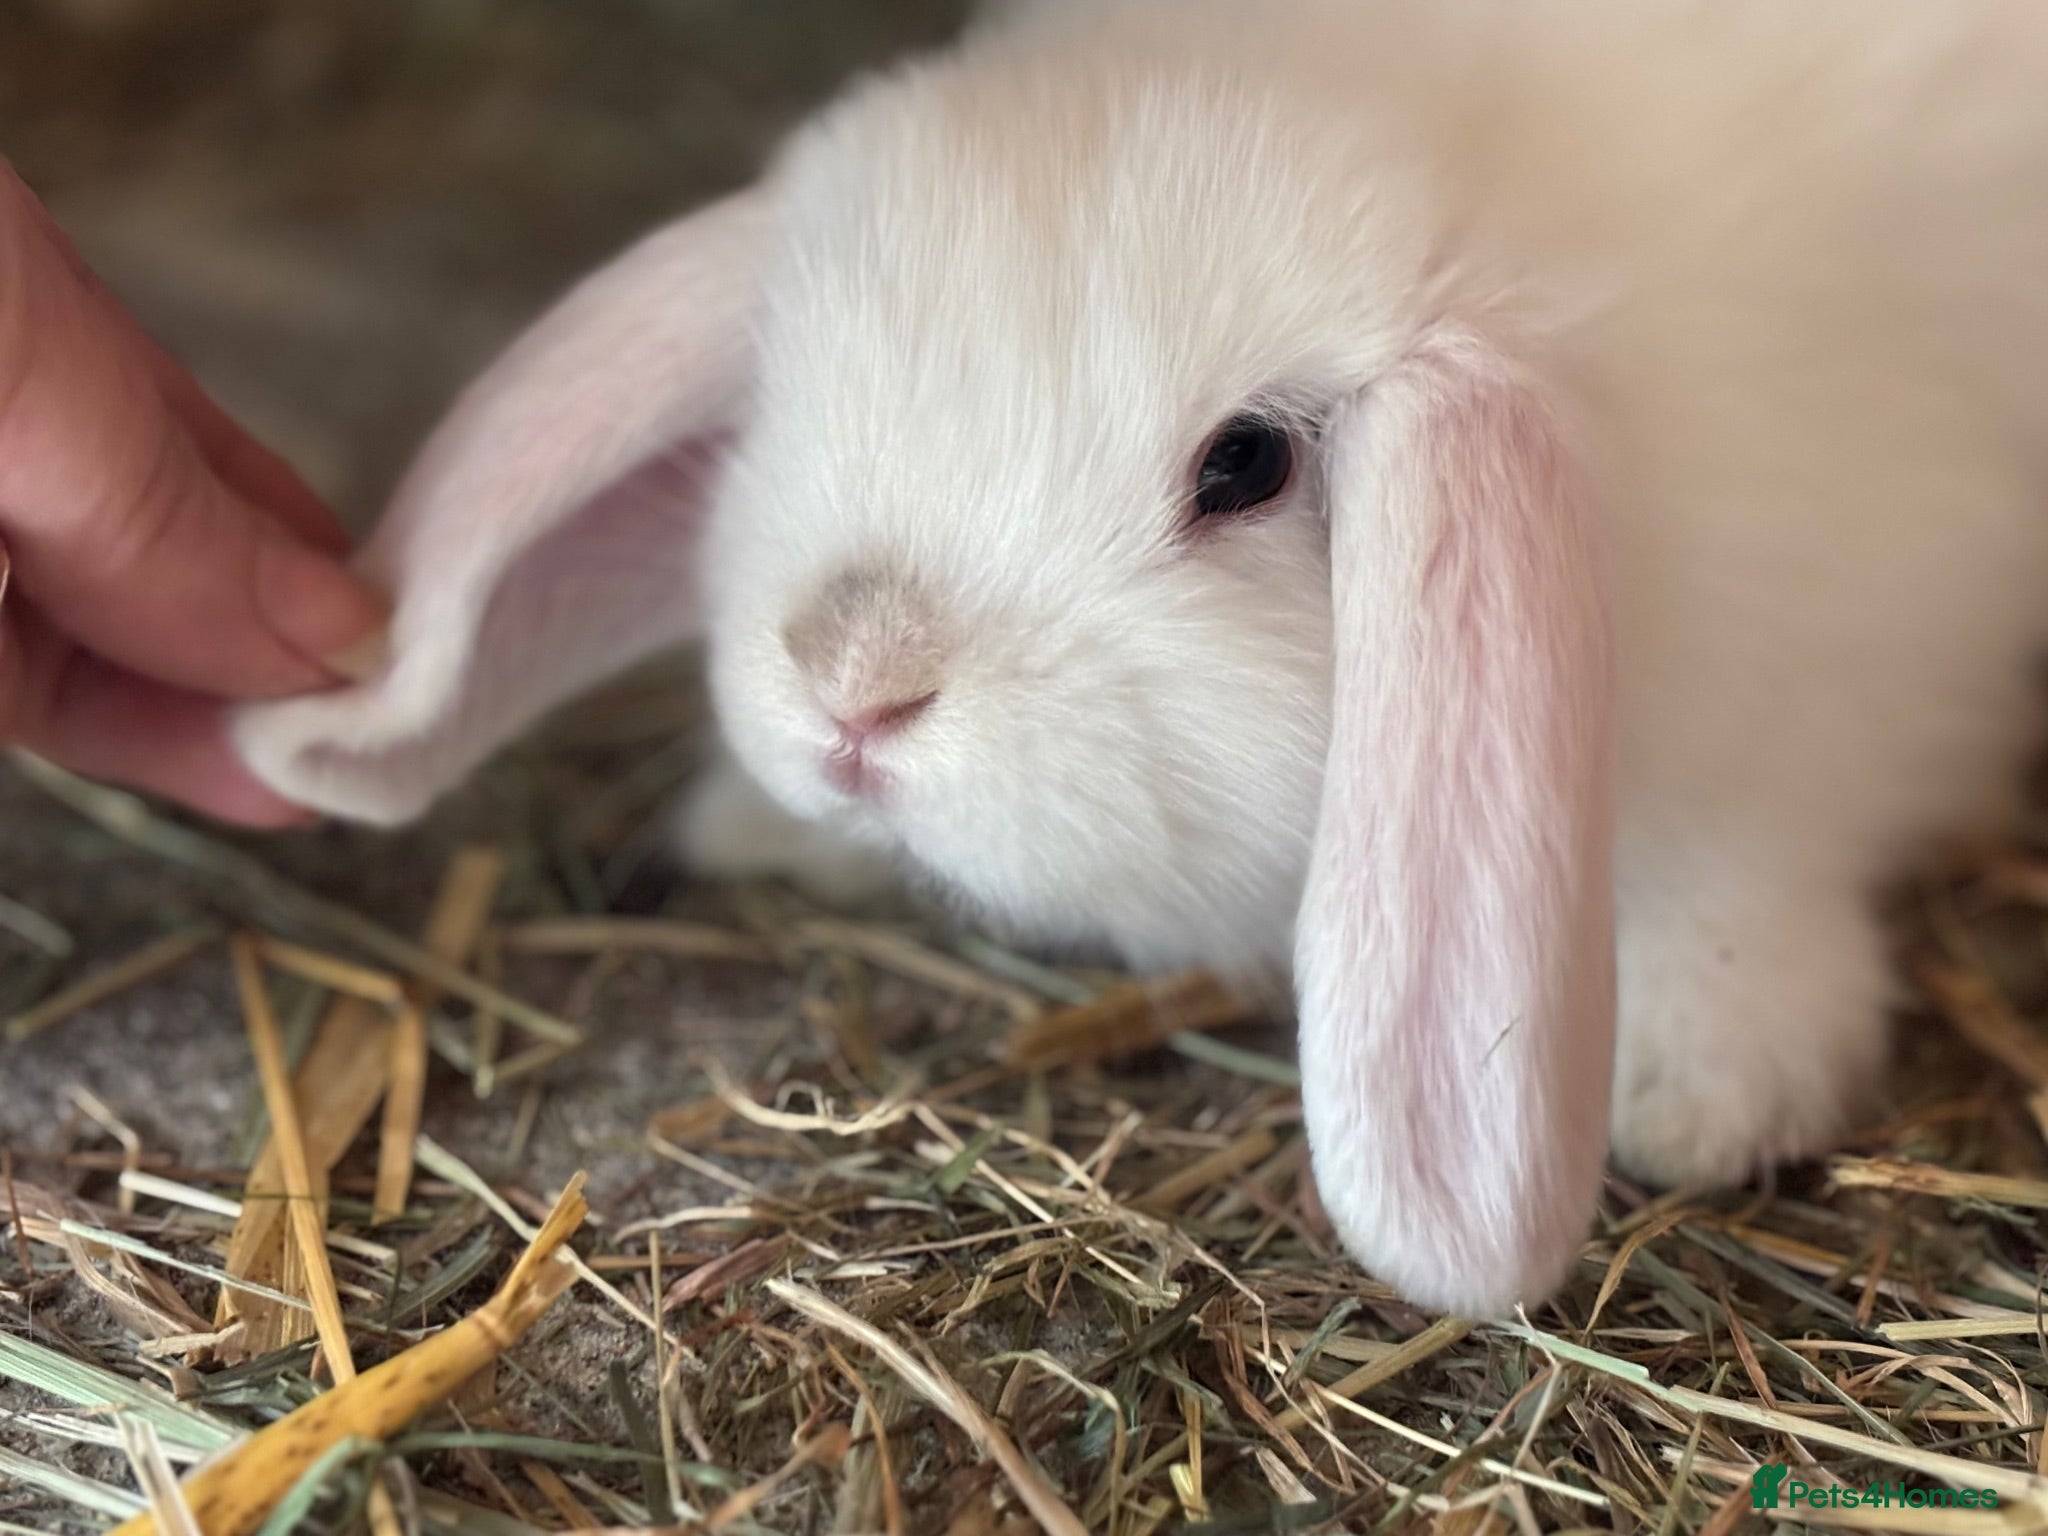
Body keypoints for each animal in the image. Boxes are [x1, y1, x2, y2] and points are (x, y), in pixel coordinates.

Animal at [232, 0, 2048, 1316]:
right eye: (791, 384)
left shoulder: (1794, 744)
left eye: (1243, 465)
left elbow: (1734, 903)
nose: (853, 680)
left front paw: (1695, 1095)